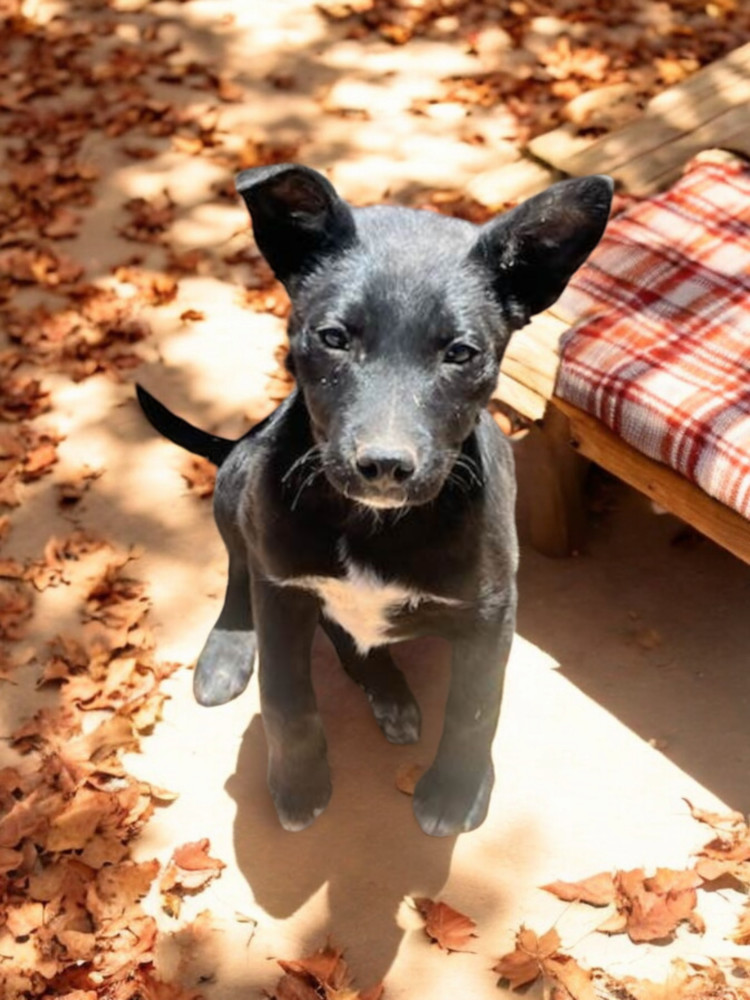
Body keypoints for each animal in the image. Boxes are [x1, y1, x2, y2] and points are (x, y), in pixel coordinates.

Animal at [138, 164, 612, 836]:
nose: (385, 466)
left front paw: (456, 790)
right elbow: (286, 698)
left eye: (461, 353)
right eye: (334, 337)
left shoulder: (493, 614)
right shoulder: (282, 591)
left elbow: (475, 710)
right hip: (237, 480)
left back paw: (388, 693)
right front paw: (299, 783)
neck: (372, 524)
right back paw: (235, 649)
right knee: (240, 569)